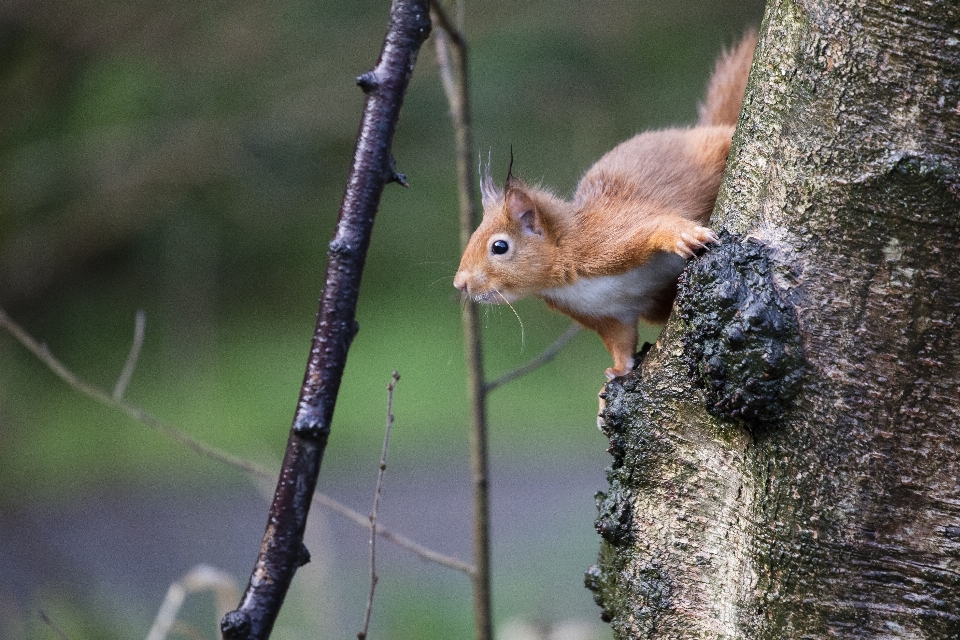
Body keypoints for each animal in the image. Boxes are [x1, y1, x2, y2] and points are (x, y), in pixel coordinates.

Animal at [456, 32, 756, 382]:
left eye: (499, 247)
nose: (460, 284)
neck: (569, 282)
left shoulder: (609, 239)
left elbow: (654, 225)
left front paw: (682, 236)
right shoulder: (607, 315)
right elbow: (620, 342)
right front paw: (614, 376)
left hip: (711, 149)